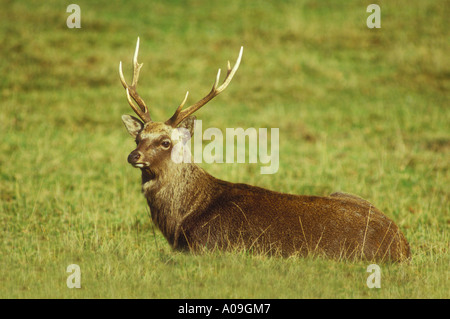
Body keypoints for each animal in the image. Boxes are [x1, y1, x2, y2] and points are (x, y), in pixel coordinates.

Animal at [118, 38, 412, 262]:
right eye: (138, 138)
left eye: (165, 142)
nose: (133, 156)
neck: (182, 219)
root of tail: (402, 246)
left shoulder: (205, 247)